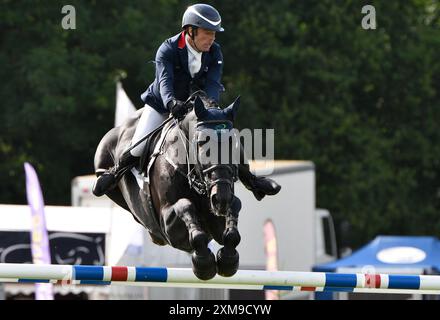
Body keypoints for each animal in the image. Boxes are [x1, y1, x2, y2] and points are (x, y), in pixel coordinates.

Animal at [94, 93, 242, 280]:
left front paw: (228, 260)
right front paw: (204, 263)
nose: (221, 197)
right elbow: (185, 206)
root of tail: (117, 129)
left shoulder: (217, 218)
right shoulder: (168, 226)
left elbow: (233, 218)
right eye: (202, 143)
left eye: (234, 143)